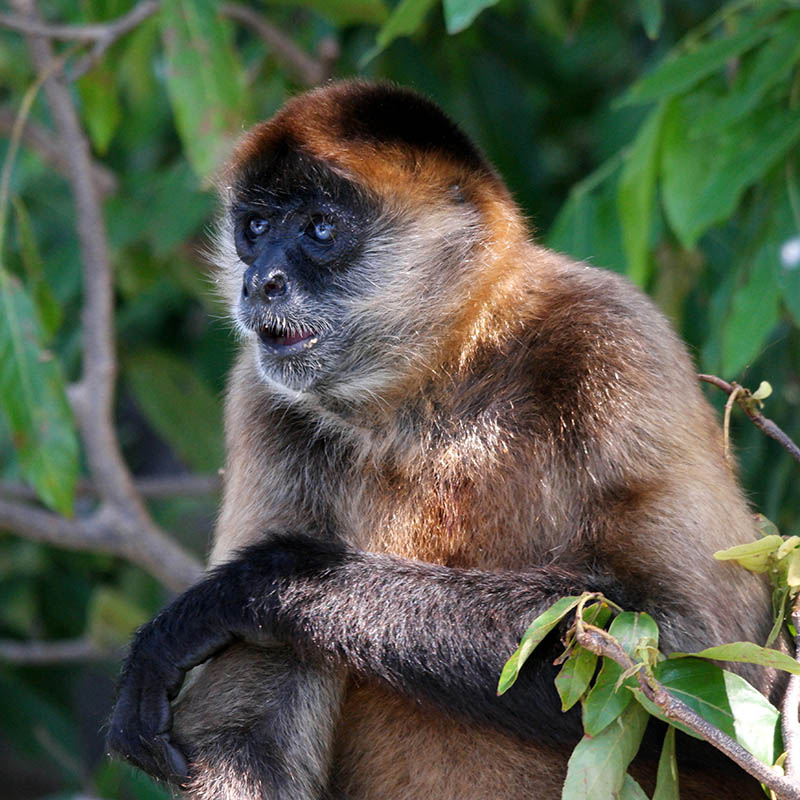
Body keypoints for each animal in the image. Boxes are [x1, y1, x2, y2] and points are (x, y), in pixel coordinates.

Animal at [106, 76, 780, 800]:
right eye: (254, 229)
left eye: (320, 229)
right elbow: (244, 739)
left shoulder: (615, 336)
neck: (431, 395)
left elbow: (712, 651)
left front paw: (252, 588)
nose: (260, 282)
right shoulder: (261, 398)